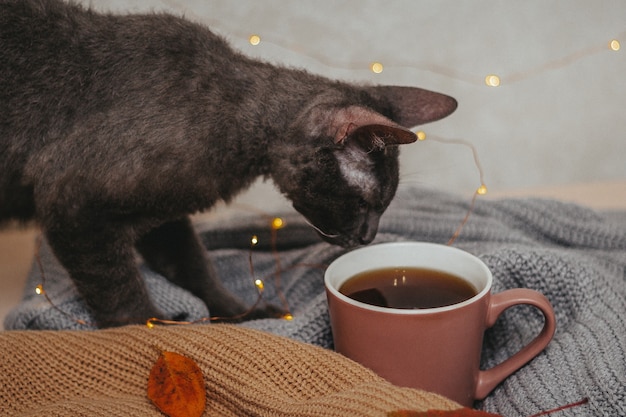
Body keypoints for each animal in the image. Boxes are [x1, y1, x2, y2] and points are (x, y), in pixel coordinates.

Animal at [1, 0, 458, 326]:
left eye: (382, 207)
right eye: (364, 204)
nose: (368, 236)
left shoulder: (164, 217)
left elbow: (196, 267)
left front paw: (238, 313)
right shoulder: (74, 206)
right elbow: (119, 291)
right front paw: (150, 329)